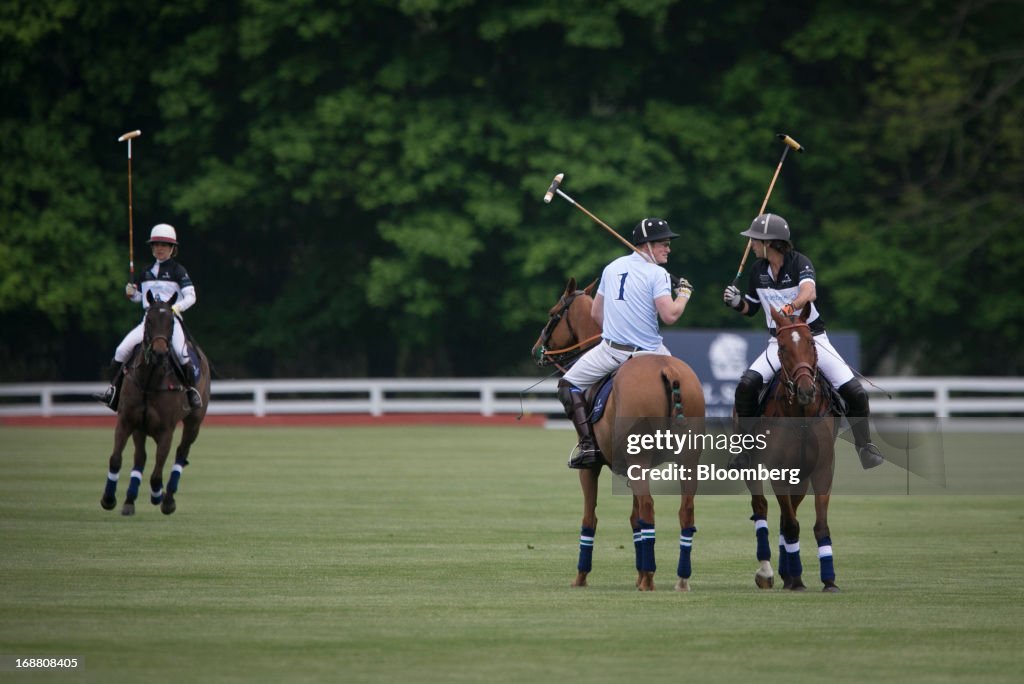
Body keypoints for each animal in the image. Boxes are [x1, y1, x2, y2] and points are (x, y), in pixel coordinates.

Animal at [100, 290, 210, 516]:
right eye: (149, 320)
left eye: (171, 322)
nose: (160, 353)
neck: (149, 381)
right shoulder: (127, 421)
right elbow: (116, 459)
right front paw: (109, 499)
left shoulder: (166, 430)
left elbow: (157, 472)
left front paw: (157, 494)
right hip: (140, 428)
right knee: (140, 458)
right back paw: (130, 500)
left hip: (194, 421)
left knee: (181, 453)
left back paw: (167, 499)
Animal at [536, 274, 704, 589]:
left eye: (553, 314)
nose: (537, 349)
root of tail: (669, 370)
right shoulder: (631, 469)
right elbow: (633, 519)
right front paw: (638, 574)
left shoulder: (592, 469)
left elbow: (590, 518)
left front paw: (581, 577)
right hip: (687, 457)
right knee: (685, 510)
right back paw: (680, 579)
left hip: (641, 458)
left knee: (650, 508)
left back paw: (650, 580)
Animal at [745, 301, 839, 589]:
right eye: (783, 347)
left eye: (810, 341)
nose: (806, 390)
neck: (802, 414)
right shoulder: (778, 471)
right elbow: (791, 525)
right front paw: (796, 578)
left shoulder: (822, 470)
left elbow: (819, 524)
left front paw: (829, 580)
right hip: (754, 467)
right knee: (762, 507)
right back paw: (768, 572)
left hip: (801, 477)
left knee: (787, 514)